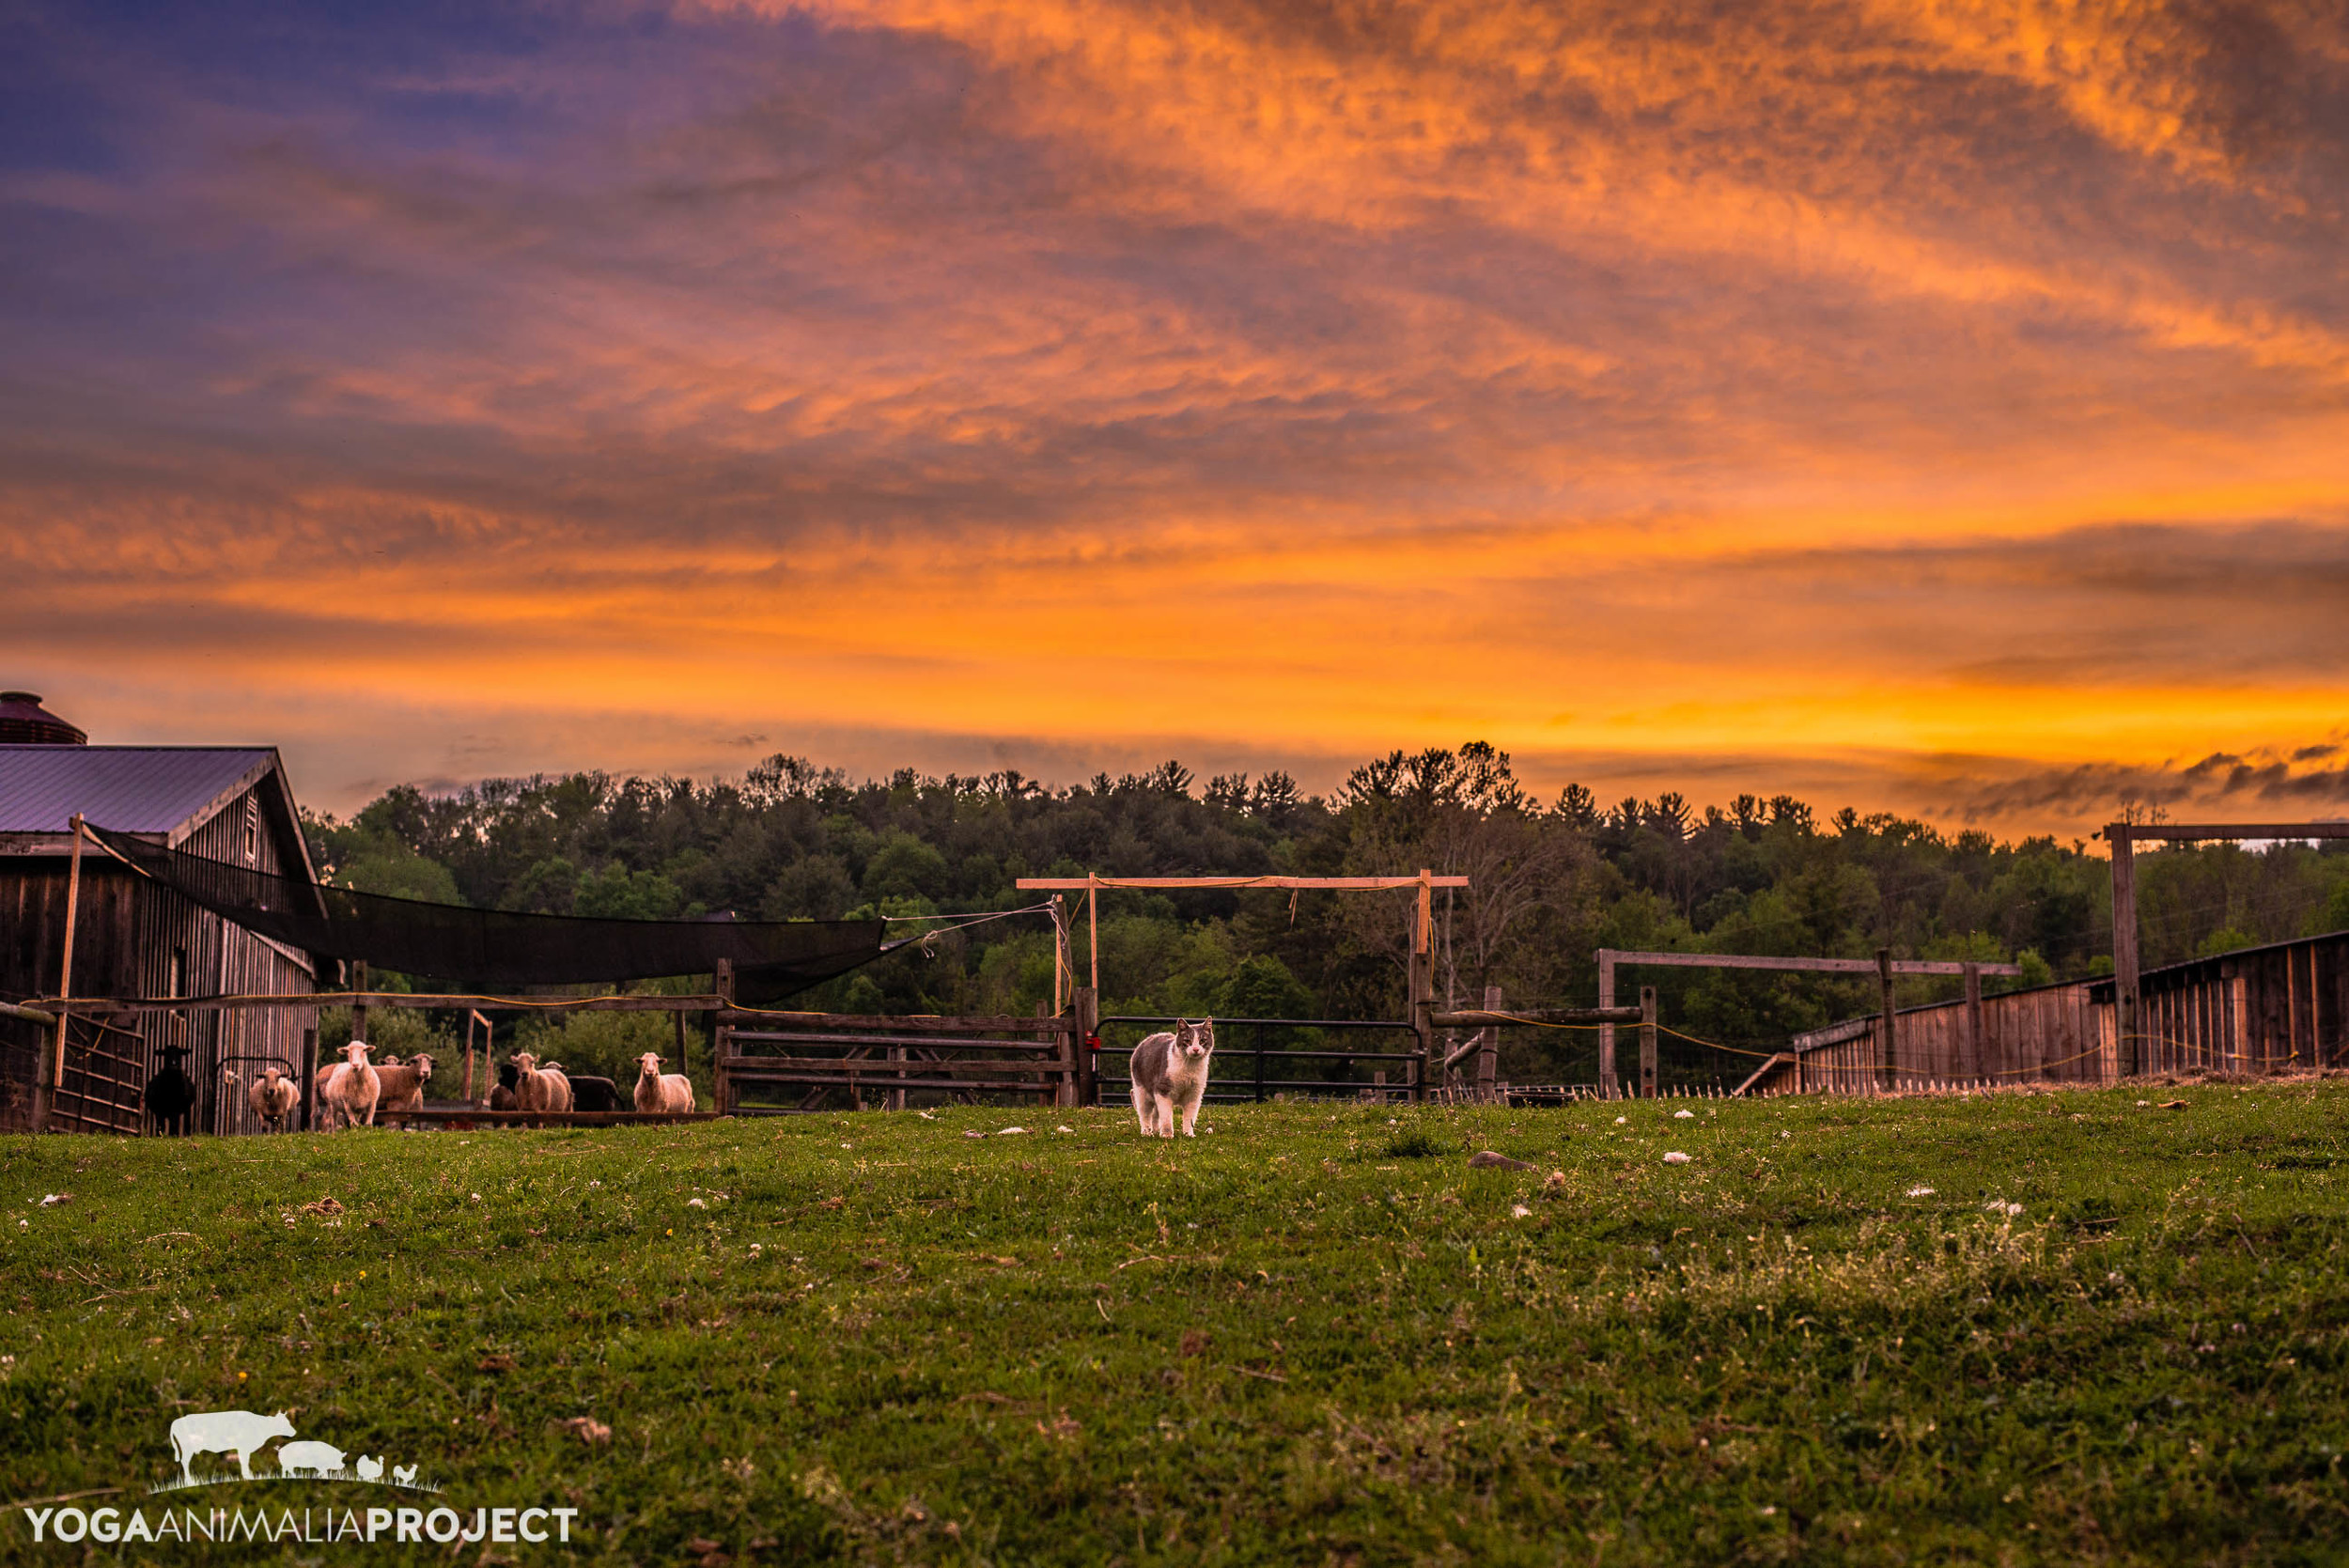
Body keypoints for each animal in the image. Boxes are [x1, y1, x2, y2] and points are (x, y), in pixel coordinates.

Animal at [1132, 1018, 1221, 1141]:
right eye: (1187, 1040)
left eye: (1202, 1040)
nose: (1196, 1049)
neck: (1189, 1068)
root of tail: (1147, 1039)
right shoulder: (1162, 1089)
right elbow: (1166, 1116)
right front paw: (1167, 1135)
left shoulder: (1194, 1094)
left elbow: (1190, 1117)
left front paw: (1188, 1134)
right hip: (1141, 1091)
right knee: (1144, 1113)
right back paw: (1147, 1133)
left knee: (1155, 1113)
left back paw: (1155, 1130)